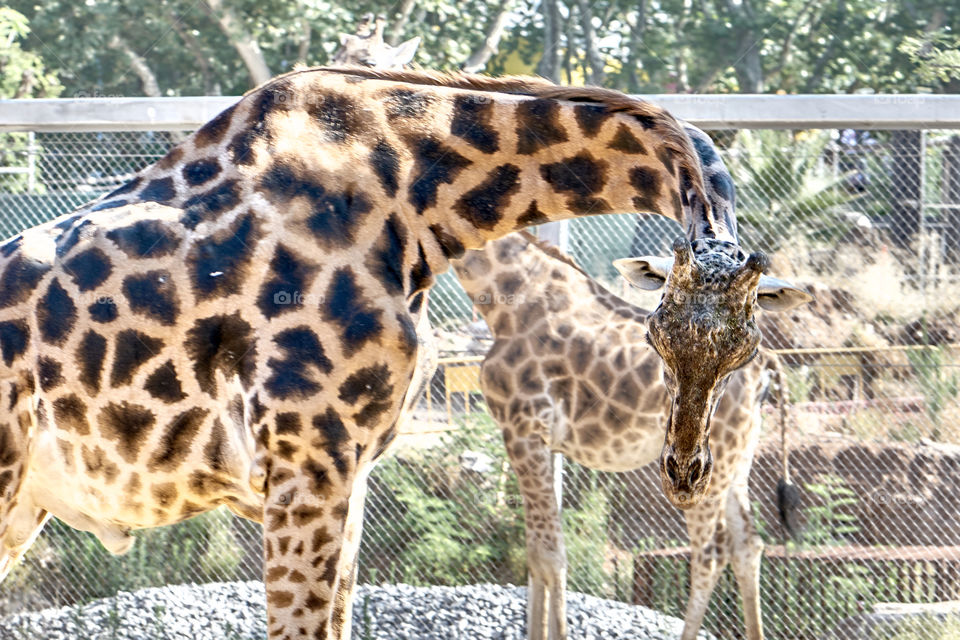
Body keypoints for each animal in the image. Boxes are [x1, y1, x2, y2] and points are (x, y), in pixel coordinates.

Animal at [450, 231, 796, 640]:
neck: (508, 301)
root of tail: (767, 365)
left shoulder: (523, 429)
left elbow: (549, 556)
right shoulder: (541, 441)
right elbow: (536, 554)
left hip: (708, 467)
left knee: (711, 554)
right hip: (735, 460)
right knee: (748, 545)